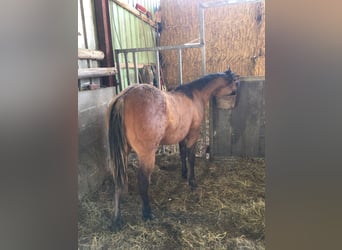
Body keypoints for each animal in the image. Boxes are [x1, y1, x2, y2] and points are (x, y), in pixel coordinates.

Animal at [108, 67, 239, 230]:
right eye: (236, 82)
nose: (236, 95)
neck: (194, 94)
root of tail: (124, 97)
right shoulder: (193, 134)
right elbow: (191, 157)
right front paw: (192, 181)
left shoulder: (181, 136)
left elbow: (182, 154)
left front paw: (184, 174)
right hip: (146, 155)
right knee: (143, 181)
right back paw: (147, 213)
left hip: (122, 153)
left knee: (117, 181)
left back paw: (116, 219)